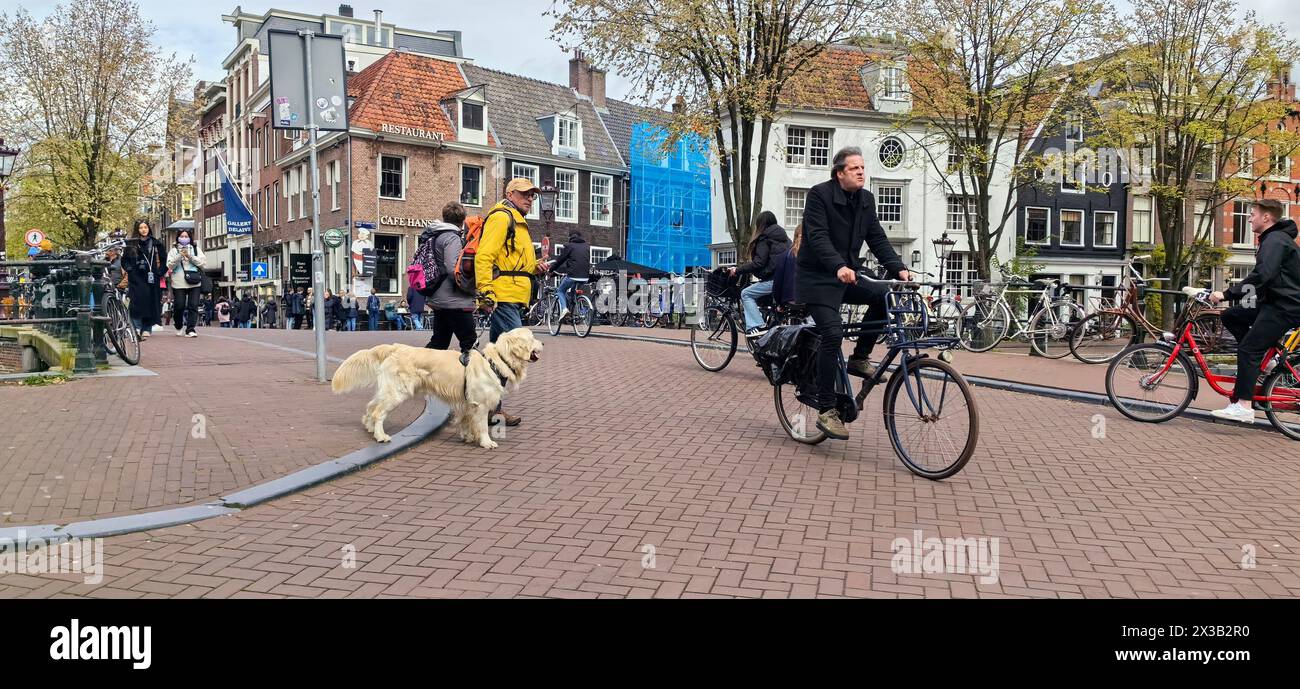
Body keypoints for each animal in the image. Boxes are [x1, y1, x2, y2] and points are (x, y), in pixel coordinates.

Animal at [332, 326, 546, 444]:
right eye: (532, 337)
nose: (543, 343)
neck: (496, 360)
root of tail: (395, 347)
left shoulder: (466, 403)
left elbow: (466, 422)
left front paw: (468, 437)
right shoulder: (481, 404)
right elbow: (482, 426)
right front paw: (486, 442)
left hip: (388, 390)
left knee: (371, 406)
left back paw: (370, 428)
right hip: (398, 392)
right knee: (378, 412)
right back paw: (381, 436)